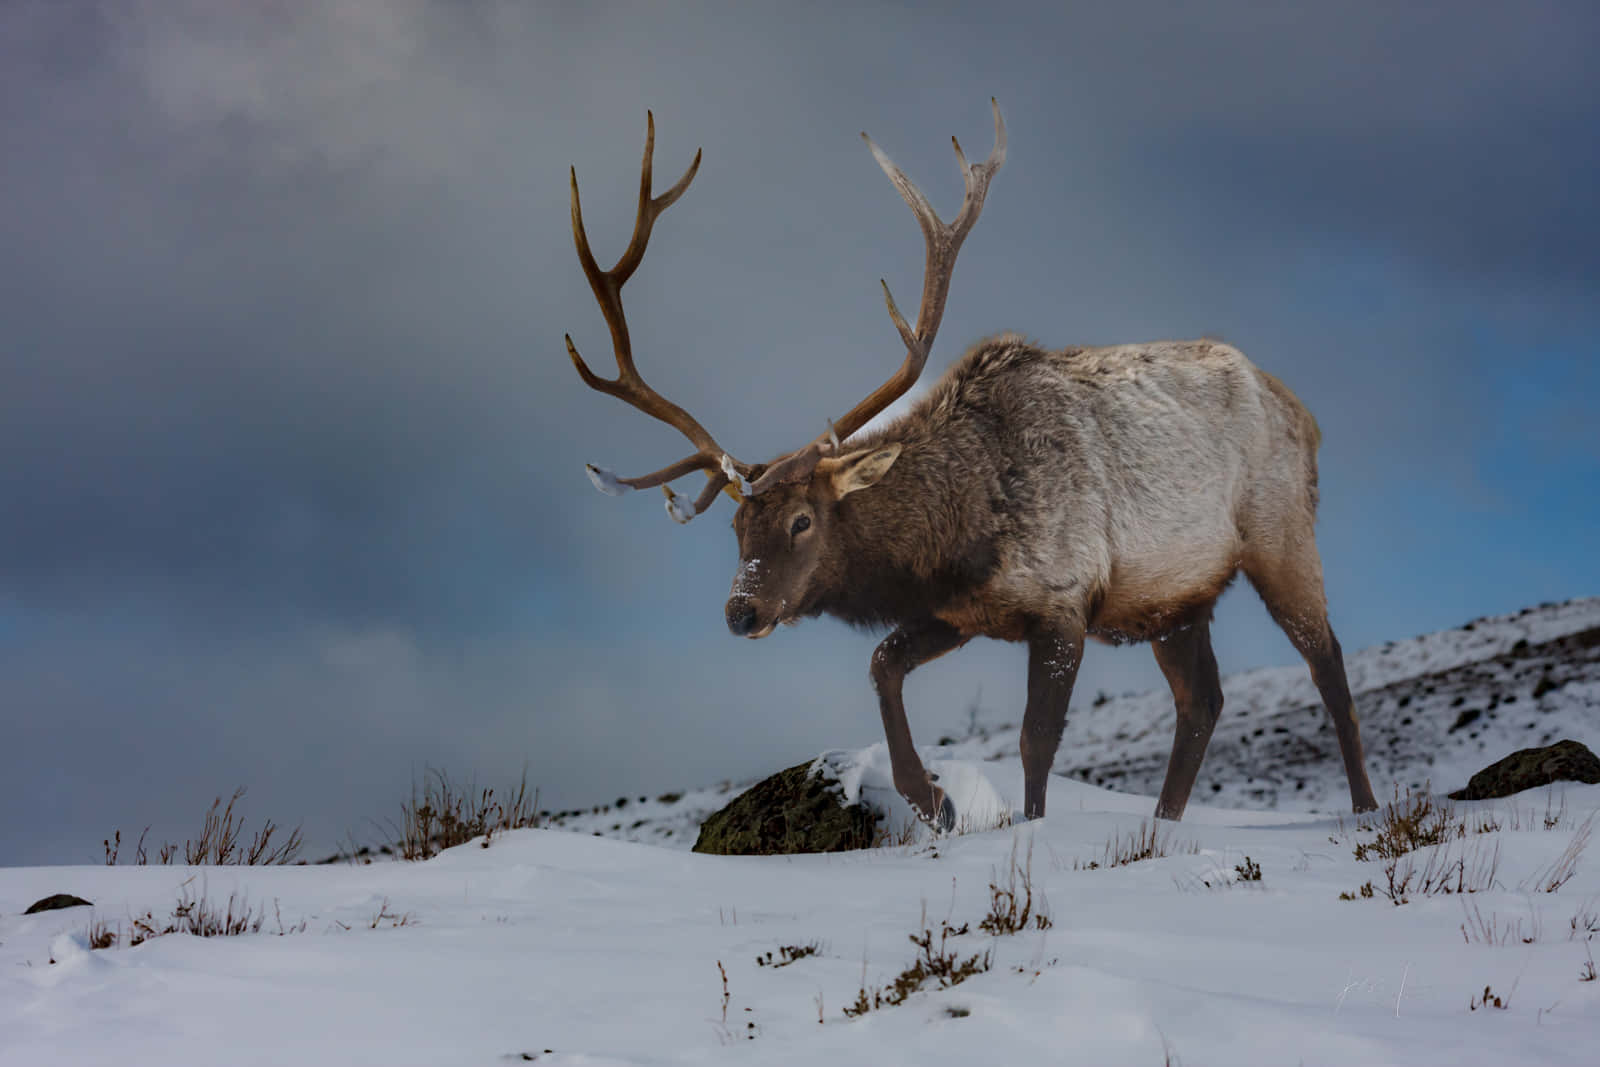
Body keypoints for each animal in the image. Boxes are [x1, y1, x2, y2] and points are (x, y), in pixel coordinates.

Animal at [563, 102, 1379, 829]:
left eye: (802, 520)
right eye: (735, 528)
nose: (741, 611)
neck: (963, 533)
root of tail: (1308, 415)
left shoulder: (1063, 600)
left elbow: (1034, 741)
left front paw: (1026, 828)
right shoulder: (959, 611)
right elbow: (883, 664)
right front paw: (933, 799)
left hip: (1280, 536)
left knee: (1328, 664)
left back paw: (1366, 809)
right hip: (1176, 597)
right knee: (1201, 701)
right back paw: (1164, 825)